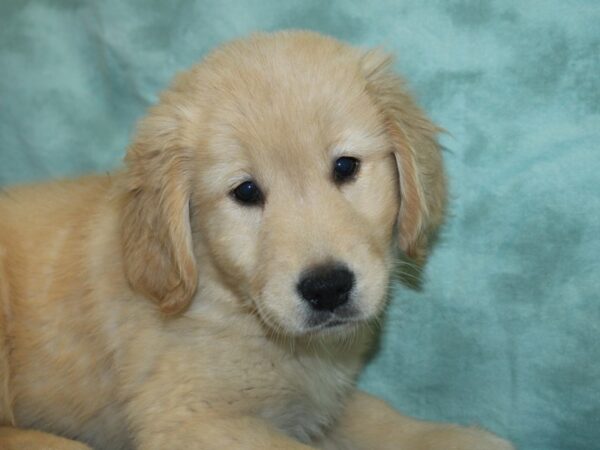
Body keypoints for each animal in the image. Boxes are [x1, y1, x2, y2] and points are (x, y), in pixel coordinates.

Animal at [0, 29, 510, 448]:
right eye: (246, 192)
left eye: (346, 166)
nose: (327, 288)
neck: (230, 304)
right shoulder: (192, 418)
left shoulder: (323, 404)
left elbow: (380, 418)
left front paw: (456, 437)